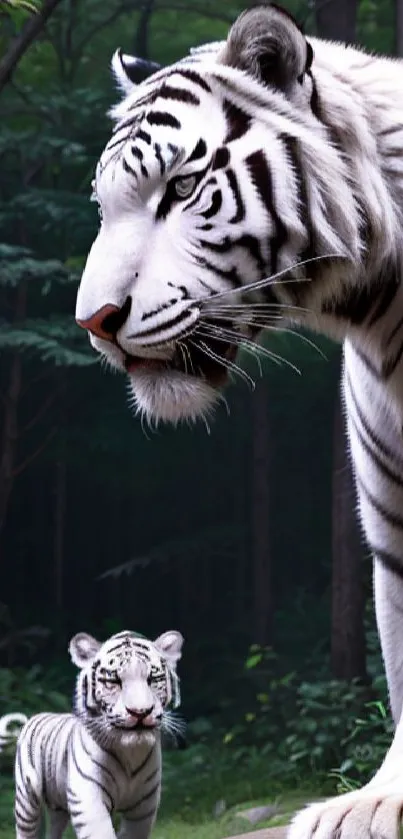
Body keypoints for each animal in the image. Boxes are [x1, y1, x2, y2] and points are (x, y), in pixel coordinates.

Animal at [0, 632, 184, 839]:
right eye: (113, 681)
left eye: (153, 679)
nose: (140, 712)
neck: (130, 755)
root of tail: (33, 717)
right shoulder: (87, 796)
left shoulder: (144, 806)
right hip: (27, 802)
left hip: (58, 807)